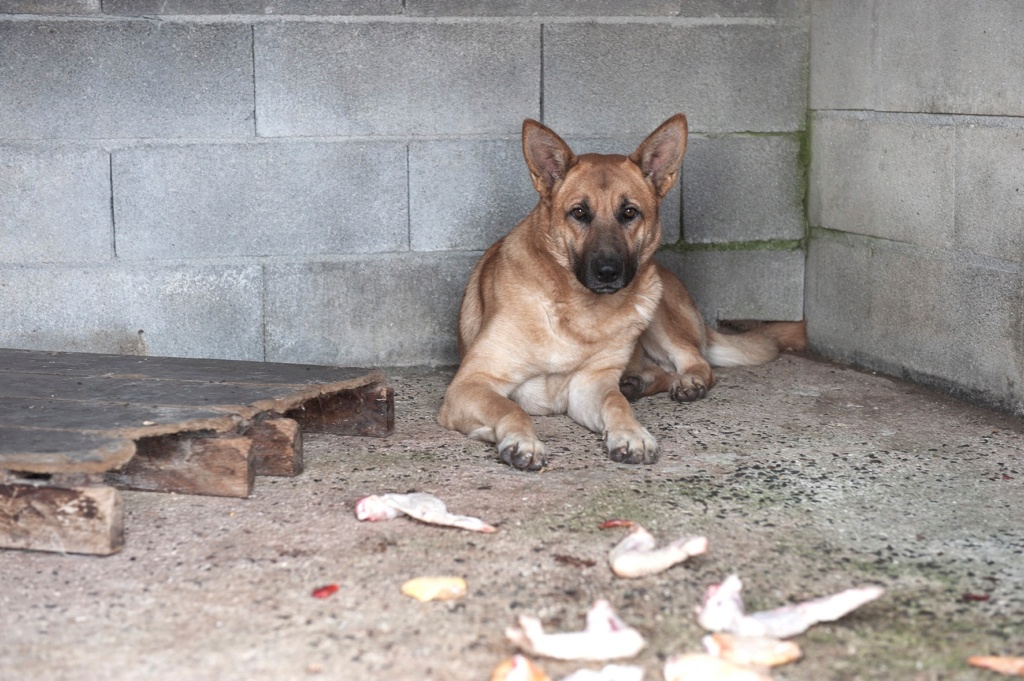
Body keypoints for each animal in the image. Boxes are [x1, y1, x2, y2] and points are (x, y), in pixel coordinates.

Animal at [436, 114, 802, 471]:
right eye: (579, 213)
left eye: (629, 213)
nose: (608, 272)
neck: (578, 309)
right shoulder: (471, 383)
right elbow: (512, 408)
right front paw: (521, 441)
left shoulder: (590, 386)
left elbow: (615, 403)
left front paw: (631, 433)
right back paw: (637, 382)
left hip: (656, 307)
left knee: (696, 362)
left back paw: (681, 382)